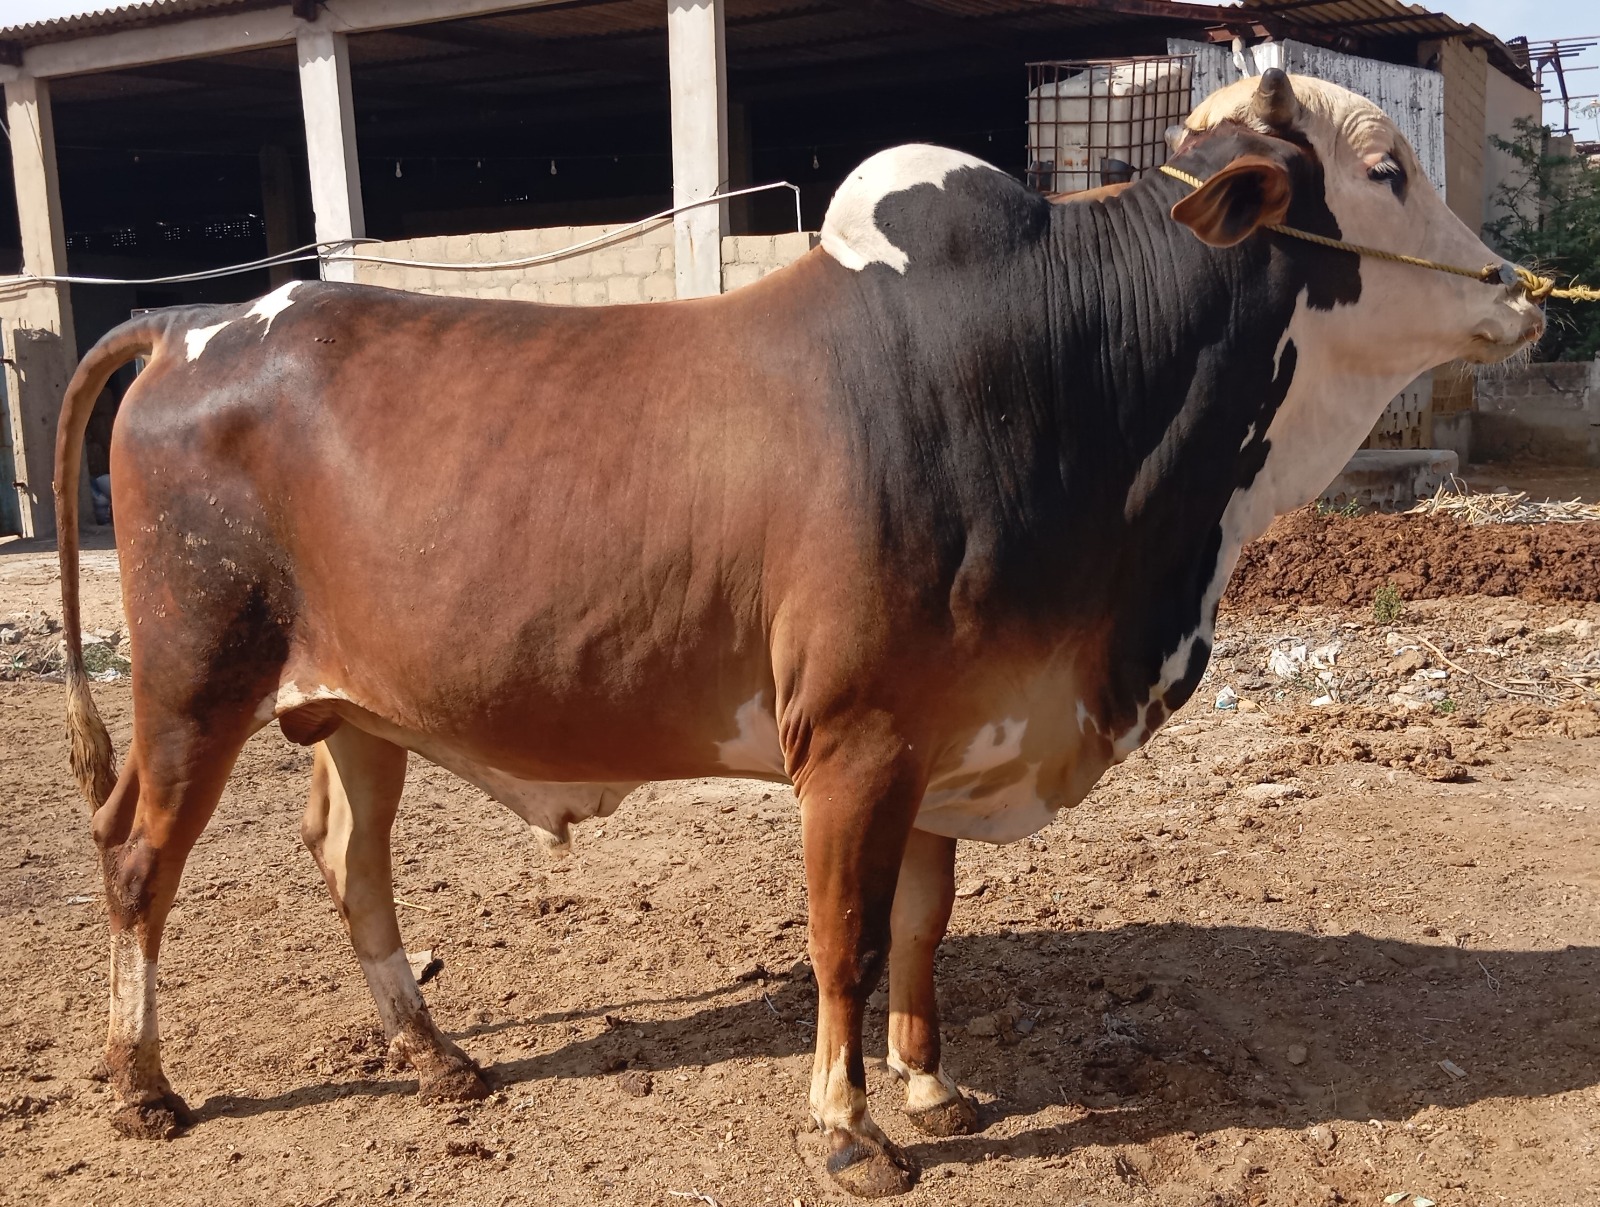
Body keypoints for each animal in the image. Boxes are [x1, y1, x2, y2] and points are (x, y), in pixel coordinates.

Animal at [54, 71, 1541, 1196]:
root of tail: (191, 322)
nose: (1518, 289)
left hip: (357, 703)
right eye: (1389, 167)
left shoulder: (955, 735)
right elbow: (846, 937)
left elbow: (925, 928)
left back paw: (438, 1058)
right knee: (137, 854)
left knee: (349, 857)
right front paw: (849, 1126)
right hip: (197, 676)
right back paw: (144, 1084)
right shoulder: (852, 740)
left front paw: (930, 1085)